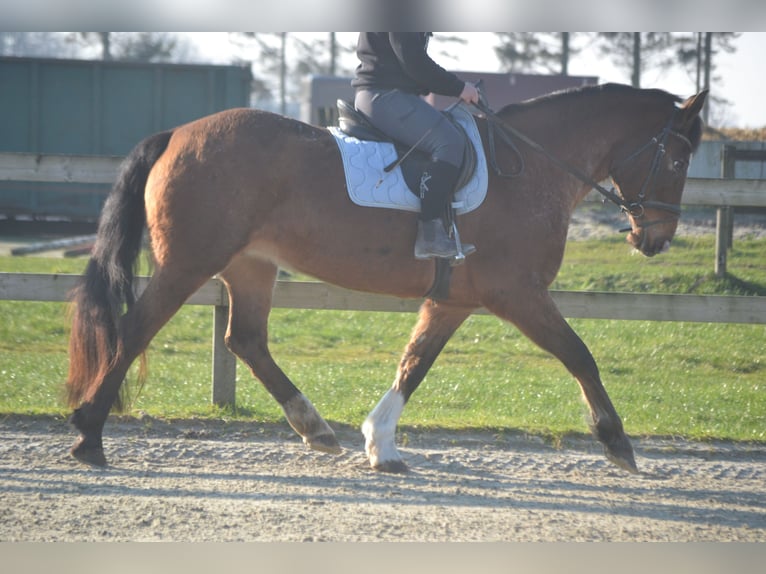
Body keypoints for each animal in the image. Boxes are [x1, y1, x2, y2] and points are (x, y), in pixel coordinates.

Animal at [64, 83, 708, 474]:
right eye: (679, 159)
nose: (655, 238)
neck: (531, 168)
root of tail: (176, 133)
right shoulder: (518, 293)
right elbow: (579, 355)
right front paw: (617, 442)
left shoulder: (455, 301)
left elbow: (415, 362)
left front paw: (381, 443)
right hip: (190, 262)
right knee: (135, 332)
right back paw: (89, 438)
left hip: (250, 265)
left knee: (245, 339)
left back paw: (316, 427)